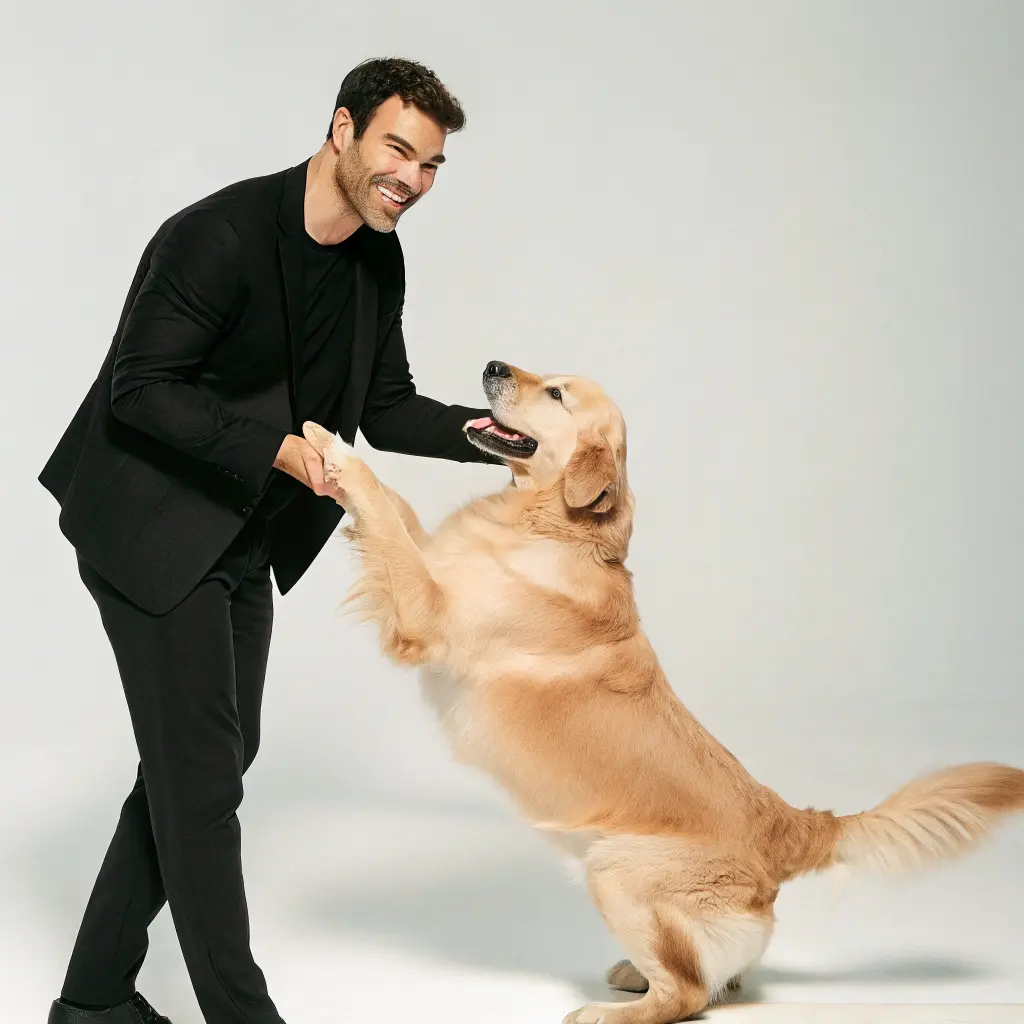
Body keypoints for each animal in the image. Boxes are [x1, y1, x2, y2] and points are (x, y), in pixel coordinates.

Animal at [301, 356, 1024, 1019]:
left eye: (556, 393)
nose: (493, 365)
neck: (552, 523)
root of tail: (788, 826)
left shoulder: (428, 616)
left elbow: (389, 523)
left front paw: (337, 451)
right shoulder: (433, 569)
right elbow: (397, 514)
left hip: (614, 869)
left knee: (689, 994)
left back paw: (608, 1009)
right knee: (715, 977)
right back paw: (636, 974)